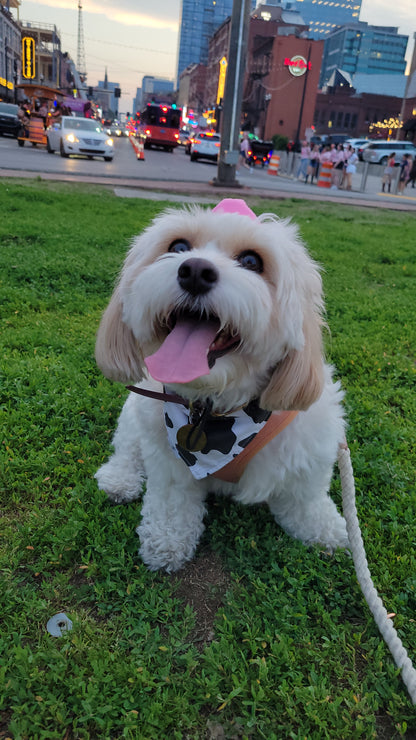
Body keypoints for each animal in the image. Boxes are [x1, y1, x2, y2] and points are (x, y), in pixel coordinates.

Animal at [94, 198, 348, 572]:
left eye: (252, 261)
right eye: (178, 247)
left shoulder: (309, 443)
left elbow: (305, 496)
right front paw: (166, 541)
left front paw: (325, 529)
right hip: (137, 414)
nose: (195, 270)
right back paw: (118, 479)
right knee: (127, 449)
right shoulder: (168, 457)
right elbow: (172, 499)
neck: (216, 407)